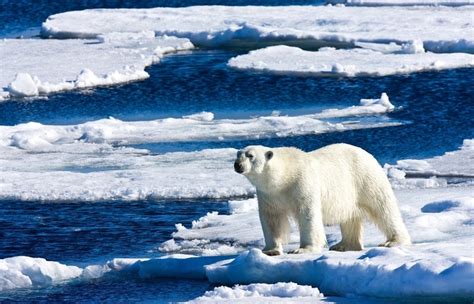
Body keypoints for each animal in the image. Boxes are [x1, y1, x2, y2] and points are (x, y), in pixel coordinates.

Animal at [233, 144, 412, 255]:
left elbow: (308, 214)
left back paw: (393, 241)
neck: (284, 177)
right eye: (238, 154)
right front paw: (270, 250)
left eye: (250, 155)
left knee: (383, 208)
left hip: (365, 179)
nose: (237, 165)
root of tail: (367, 154)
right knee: (350, 217)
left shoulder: (302, 183)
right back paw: (343, 245)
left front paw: (302, 249)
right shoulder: (269, 194)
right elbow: (272, 218)